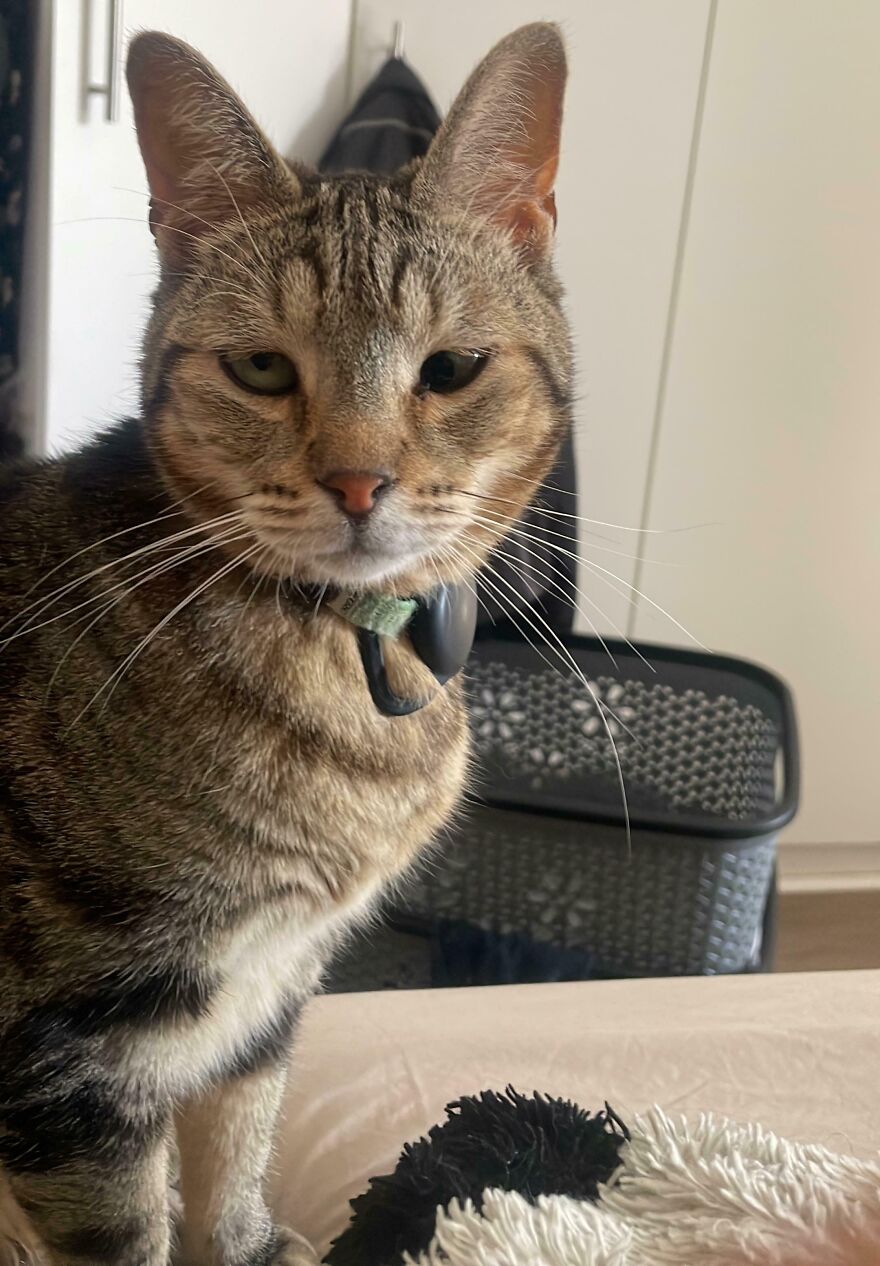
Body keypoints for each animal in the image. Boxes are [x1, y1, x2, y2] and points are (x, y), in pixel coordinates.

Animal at [0, 24, 572, 1266]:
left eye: (452, 368)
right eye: (262, 368)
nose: (358, 482)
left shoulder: (266, 992)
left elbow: (236, 1152)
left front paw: (250, 1232)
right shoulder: (74, 1055)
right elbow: (132, 1227)